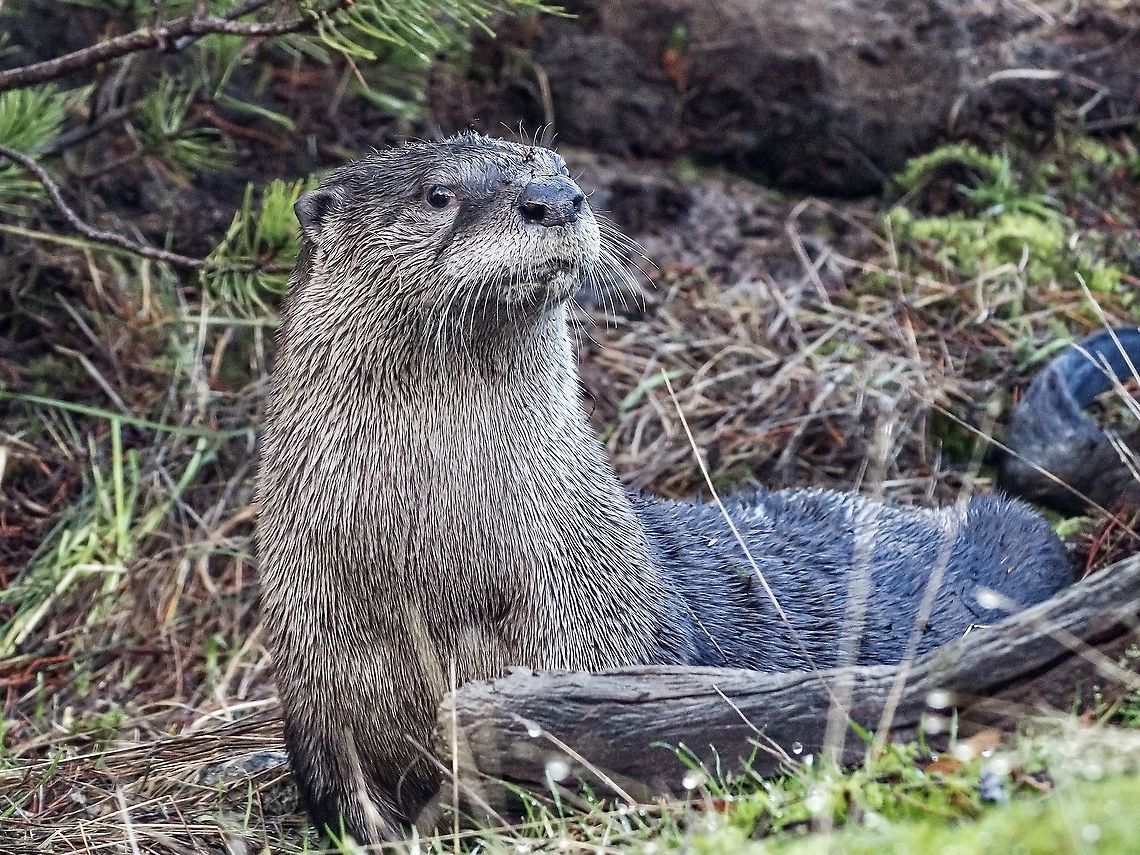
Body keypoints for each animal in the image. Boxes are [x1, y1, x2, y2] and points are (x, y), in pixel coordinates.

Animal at [257, 132, 1139, 845]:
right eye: (437, 193)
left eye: (557, 164)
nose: (556, 199)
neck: (437, 576)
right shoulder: (315, 679)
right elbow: (344, 797)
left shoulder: (595, 633)